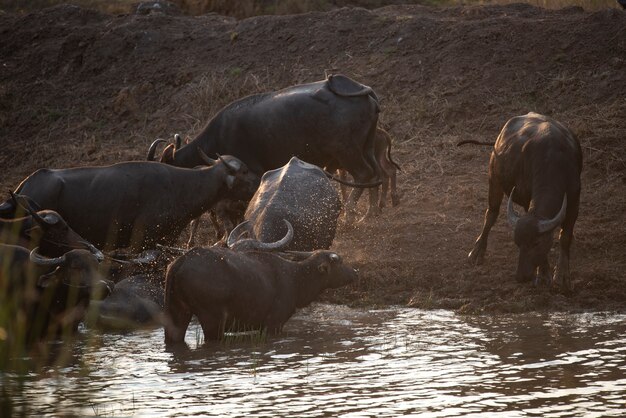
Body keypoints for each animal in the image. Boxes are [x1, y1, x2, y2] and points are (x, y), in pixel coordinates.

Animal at [146, 76, 380, 224]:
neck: (218, 135)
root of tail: (363, 90)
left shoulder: (253, 174)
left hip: (347, 151)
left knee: (364, 174)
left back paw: (349, 216)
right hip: (367, 146)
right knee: (376, 174)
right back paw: (369, 215)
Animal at [162, 247, 356, 344]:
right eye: (340, 262)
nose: (355, 272)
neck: (296, 280)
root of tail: (180, 262)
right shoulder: (273, 324)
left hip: (177, 313)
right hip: (213, 319)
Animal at [458, 112, 580, 292]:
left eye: (536, 243)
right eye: (518, 243)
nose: (521, 277)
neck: (553, 160)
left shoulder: (574, 198)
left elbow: (565, 237)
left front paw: (562, 277)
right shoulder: (527, 198)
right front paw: (543, 275)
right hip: (494, 178)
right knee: (491, 214)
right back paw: (477, 252)